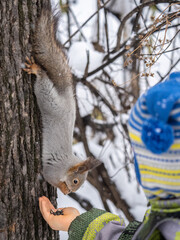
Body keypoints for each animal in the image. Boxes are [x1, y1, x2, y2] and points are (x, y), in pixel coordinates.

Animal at [23, 3, 100, 195]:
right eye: (75, 181)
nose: (71, 192)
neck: (68, 165)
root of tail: (67, 96)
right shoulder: (53, 169)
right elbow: (48, 177)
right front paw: (62, 188)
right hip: (48, 99)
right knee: (42, 80)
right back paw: (36, 70)